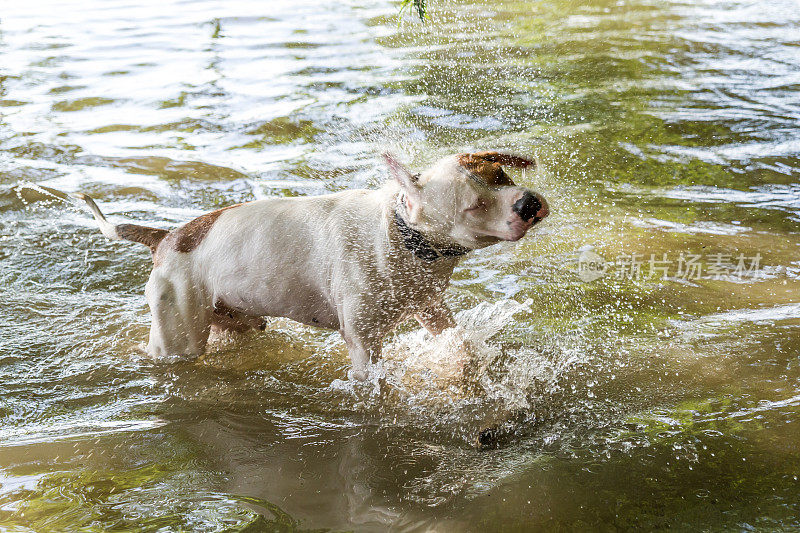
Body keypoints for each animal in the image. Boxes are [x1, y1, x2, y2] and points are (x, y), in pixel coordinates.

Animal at [75, 152, 548, 380]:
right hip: (178, 336)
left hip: (237, 322)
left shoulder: (431, 309)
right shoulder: (363, 346)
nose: (528, 204)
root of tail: (167, 238)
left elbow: (459, 345)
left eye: (500, 174)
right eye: (474, 206)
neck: (401, 232)